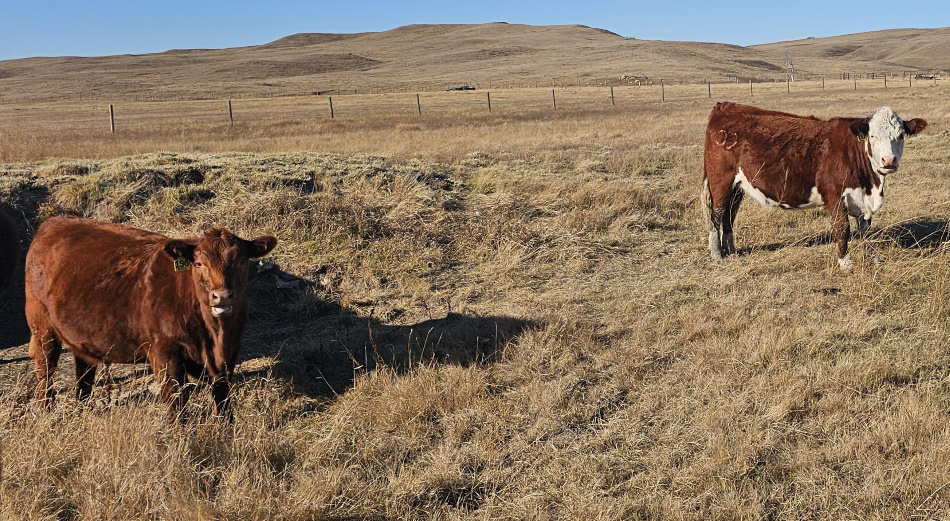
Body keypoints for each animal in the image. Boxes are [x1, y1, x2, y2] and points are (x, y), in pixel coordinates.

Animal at [25, 216, 277, 420]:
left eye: (242, 261)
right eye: (199, 263)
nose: (222, 296)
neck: (214, 336)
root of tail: (54, 221)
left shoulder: (229, 354)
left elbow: (223, 402)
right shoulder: (164, 354)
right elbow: (177, 404)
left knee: (84, 370)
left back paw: (83, 407)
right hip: (42, 327)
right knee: (45, 368)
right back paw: (45, 410)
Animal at [702, 102, 926, 270]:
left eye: (901, 135)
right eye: (872, 136)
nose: (889, 160)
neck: (871, 183)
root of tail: (725, 106)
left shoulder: (863, 200)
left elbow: (865, 230)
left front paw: (872, 256)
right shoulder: (834, 195)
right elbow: (842, 228)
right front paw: (845, 263)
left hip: (738, 186)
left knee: (730, 214)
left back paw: (731, 249)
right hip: (721, 180)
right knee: (717, 212)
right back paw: (717, 253)